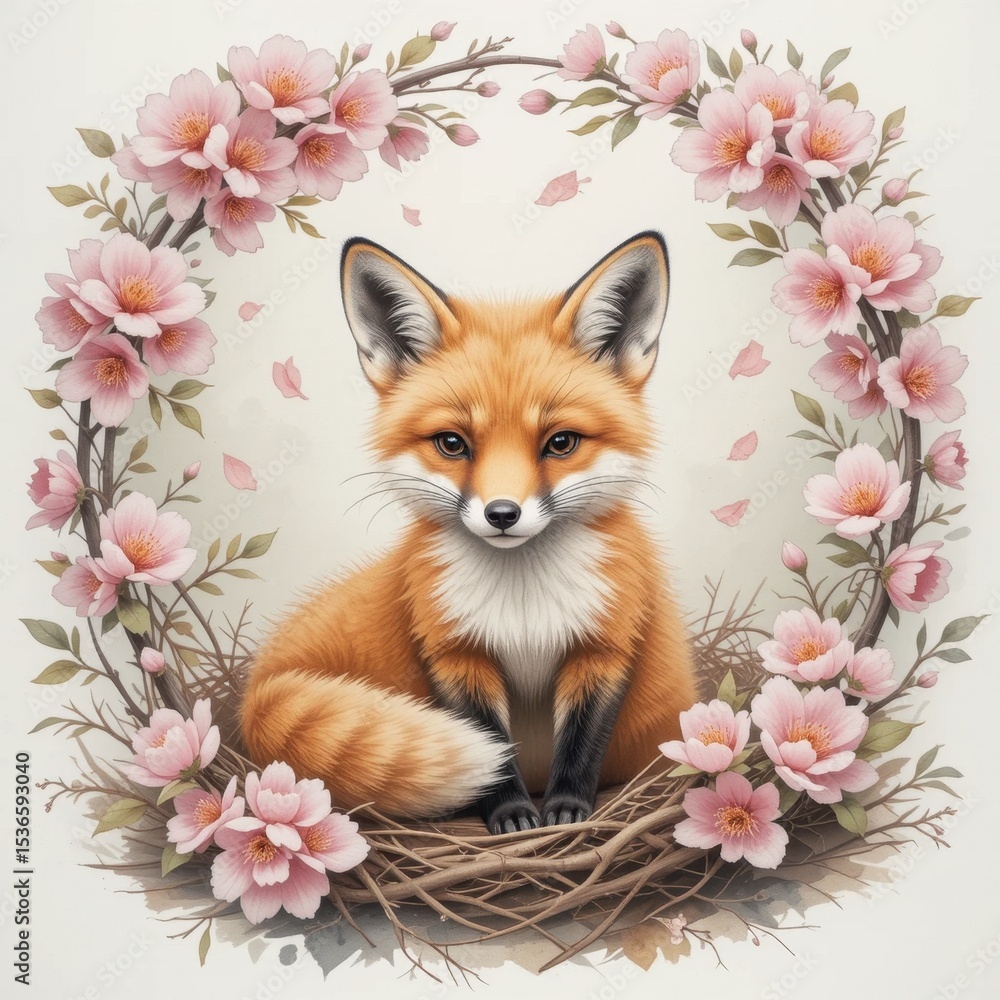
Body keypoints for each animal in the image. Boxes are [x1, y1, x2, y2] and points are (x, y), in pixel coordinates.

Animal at [240, 230, 697, 835]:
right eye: (453, 443)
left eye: (561, 443)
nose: (502, 513)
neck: (523, 607)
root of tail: (250, 696)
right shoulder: (453, 651)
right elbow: (492, 746)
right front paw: (511, 814)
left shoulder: (605, 645)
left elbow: (581, 746)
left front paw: (566, 810)